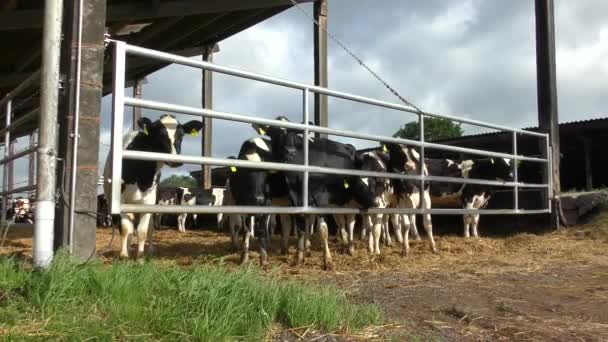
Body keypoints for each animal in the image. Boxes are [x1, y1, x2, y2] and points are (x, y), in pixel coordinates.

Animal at [102, 113, 202, 260]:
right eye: (160, 134)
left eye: (181, 135)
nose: (176, 161)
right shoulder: (120, 200)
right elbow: (125, 229)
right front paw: (124, 255)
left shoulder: (149, 200)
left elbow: (143, 230)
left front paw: (140, 257)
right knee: (128, 228)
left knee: (148, 227)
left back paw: (149, 251)